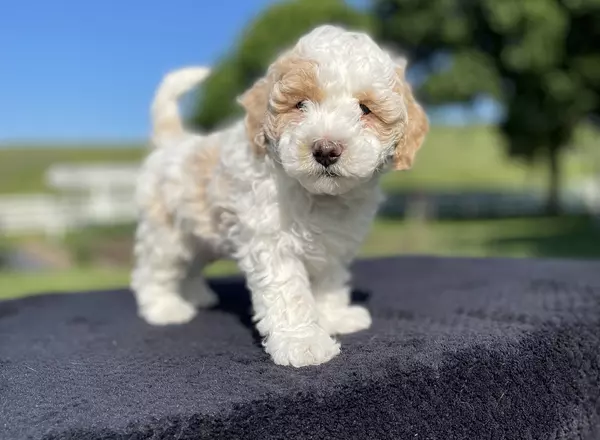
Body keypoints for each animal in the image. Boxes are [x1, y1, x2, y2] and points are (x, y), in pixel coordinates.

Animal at [134, 24, 428, 368]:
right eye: (300, 104)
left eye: (365, 109)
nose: (325, 149)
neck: (319, 196)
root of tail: (174, 143)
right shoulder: (272, 241)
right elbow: (290, 294)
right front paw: (303, 342)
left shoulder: (335, 243)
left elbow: (330, 280)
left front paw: (334, 315)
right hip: (165, 232)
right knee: (154, 270)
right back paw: (164, 307)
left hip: (200, 230)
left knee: (193, 261)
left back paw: (196, 295)